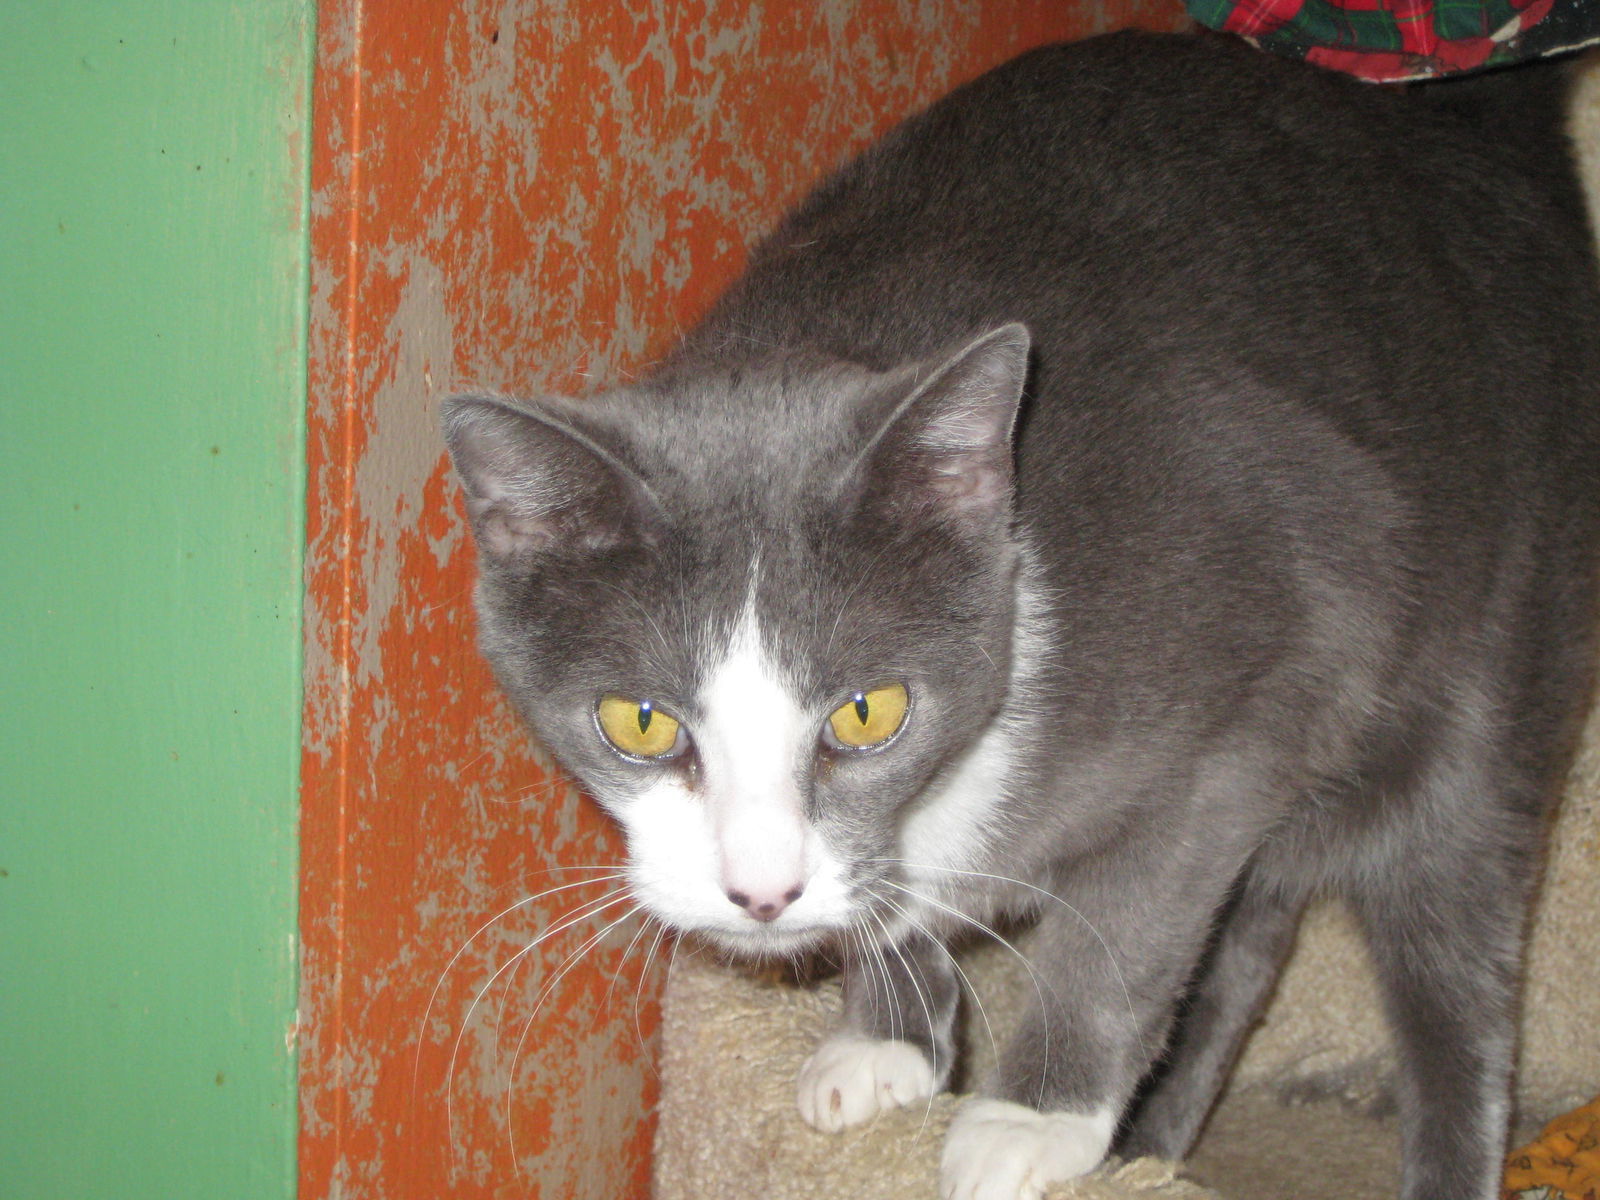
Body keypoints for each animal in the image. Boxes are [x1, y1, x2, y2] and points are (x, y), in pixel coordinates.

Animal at [444, 28, 1600, 1200]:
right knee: (1249, 943)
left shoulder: (1268, 658)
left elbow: (1136, 917)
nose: (762, 894)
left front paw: (1030, 1117)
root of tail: (1462, 121)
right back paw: (1155, 1138)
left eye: (868, 712)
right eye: (638, 722)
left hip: (1486, 679)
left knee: (1454, 979)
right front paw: (886, 1042)